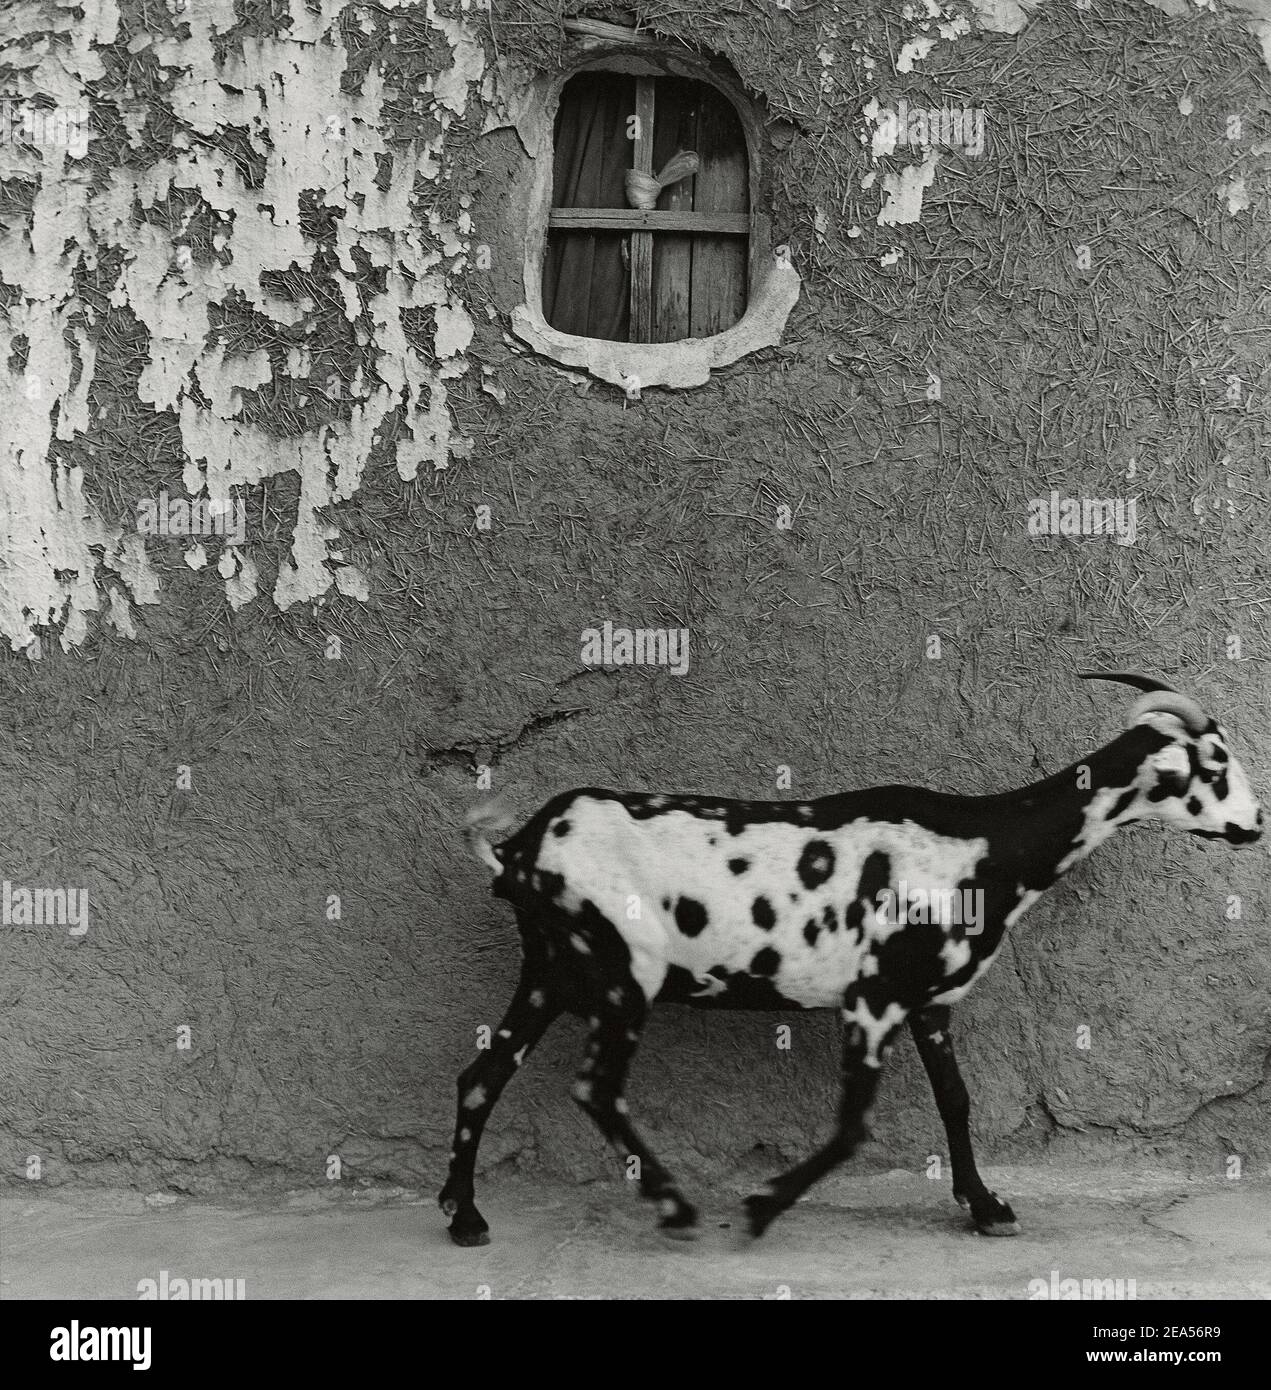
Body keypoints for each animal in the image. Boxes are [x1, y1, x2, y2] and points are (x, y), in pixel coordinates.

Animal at [439, 675, 1257, 1251]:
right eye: (1215, 766)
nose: (1253, 824)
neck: (986, 842)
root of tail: (520, 849)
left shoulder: (928, 1003)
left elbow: (955, 1101)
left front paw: (986, 1207)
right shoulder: (874, 998)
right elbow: (855, 1125)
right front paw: (761, 1207)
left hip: (549, 975)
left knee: (483, 1074)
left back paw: (464, 1213)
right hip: (620, 975)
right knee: (595, 1088)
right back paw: (672, 1206)